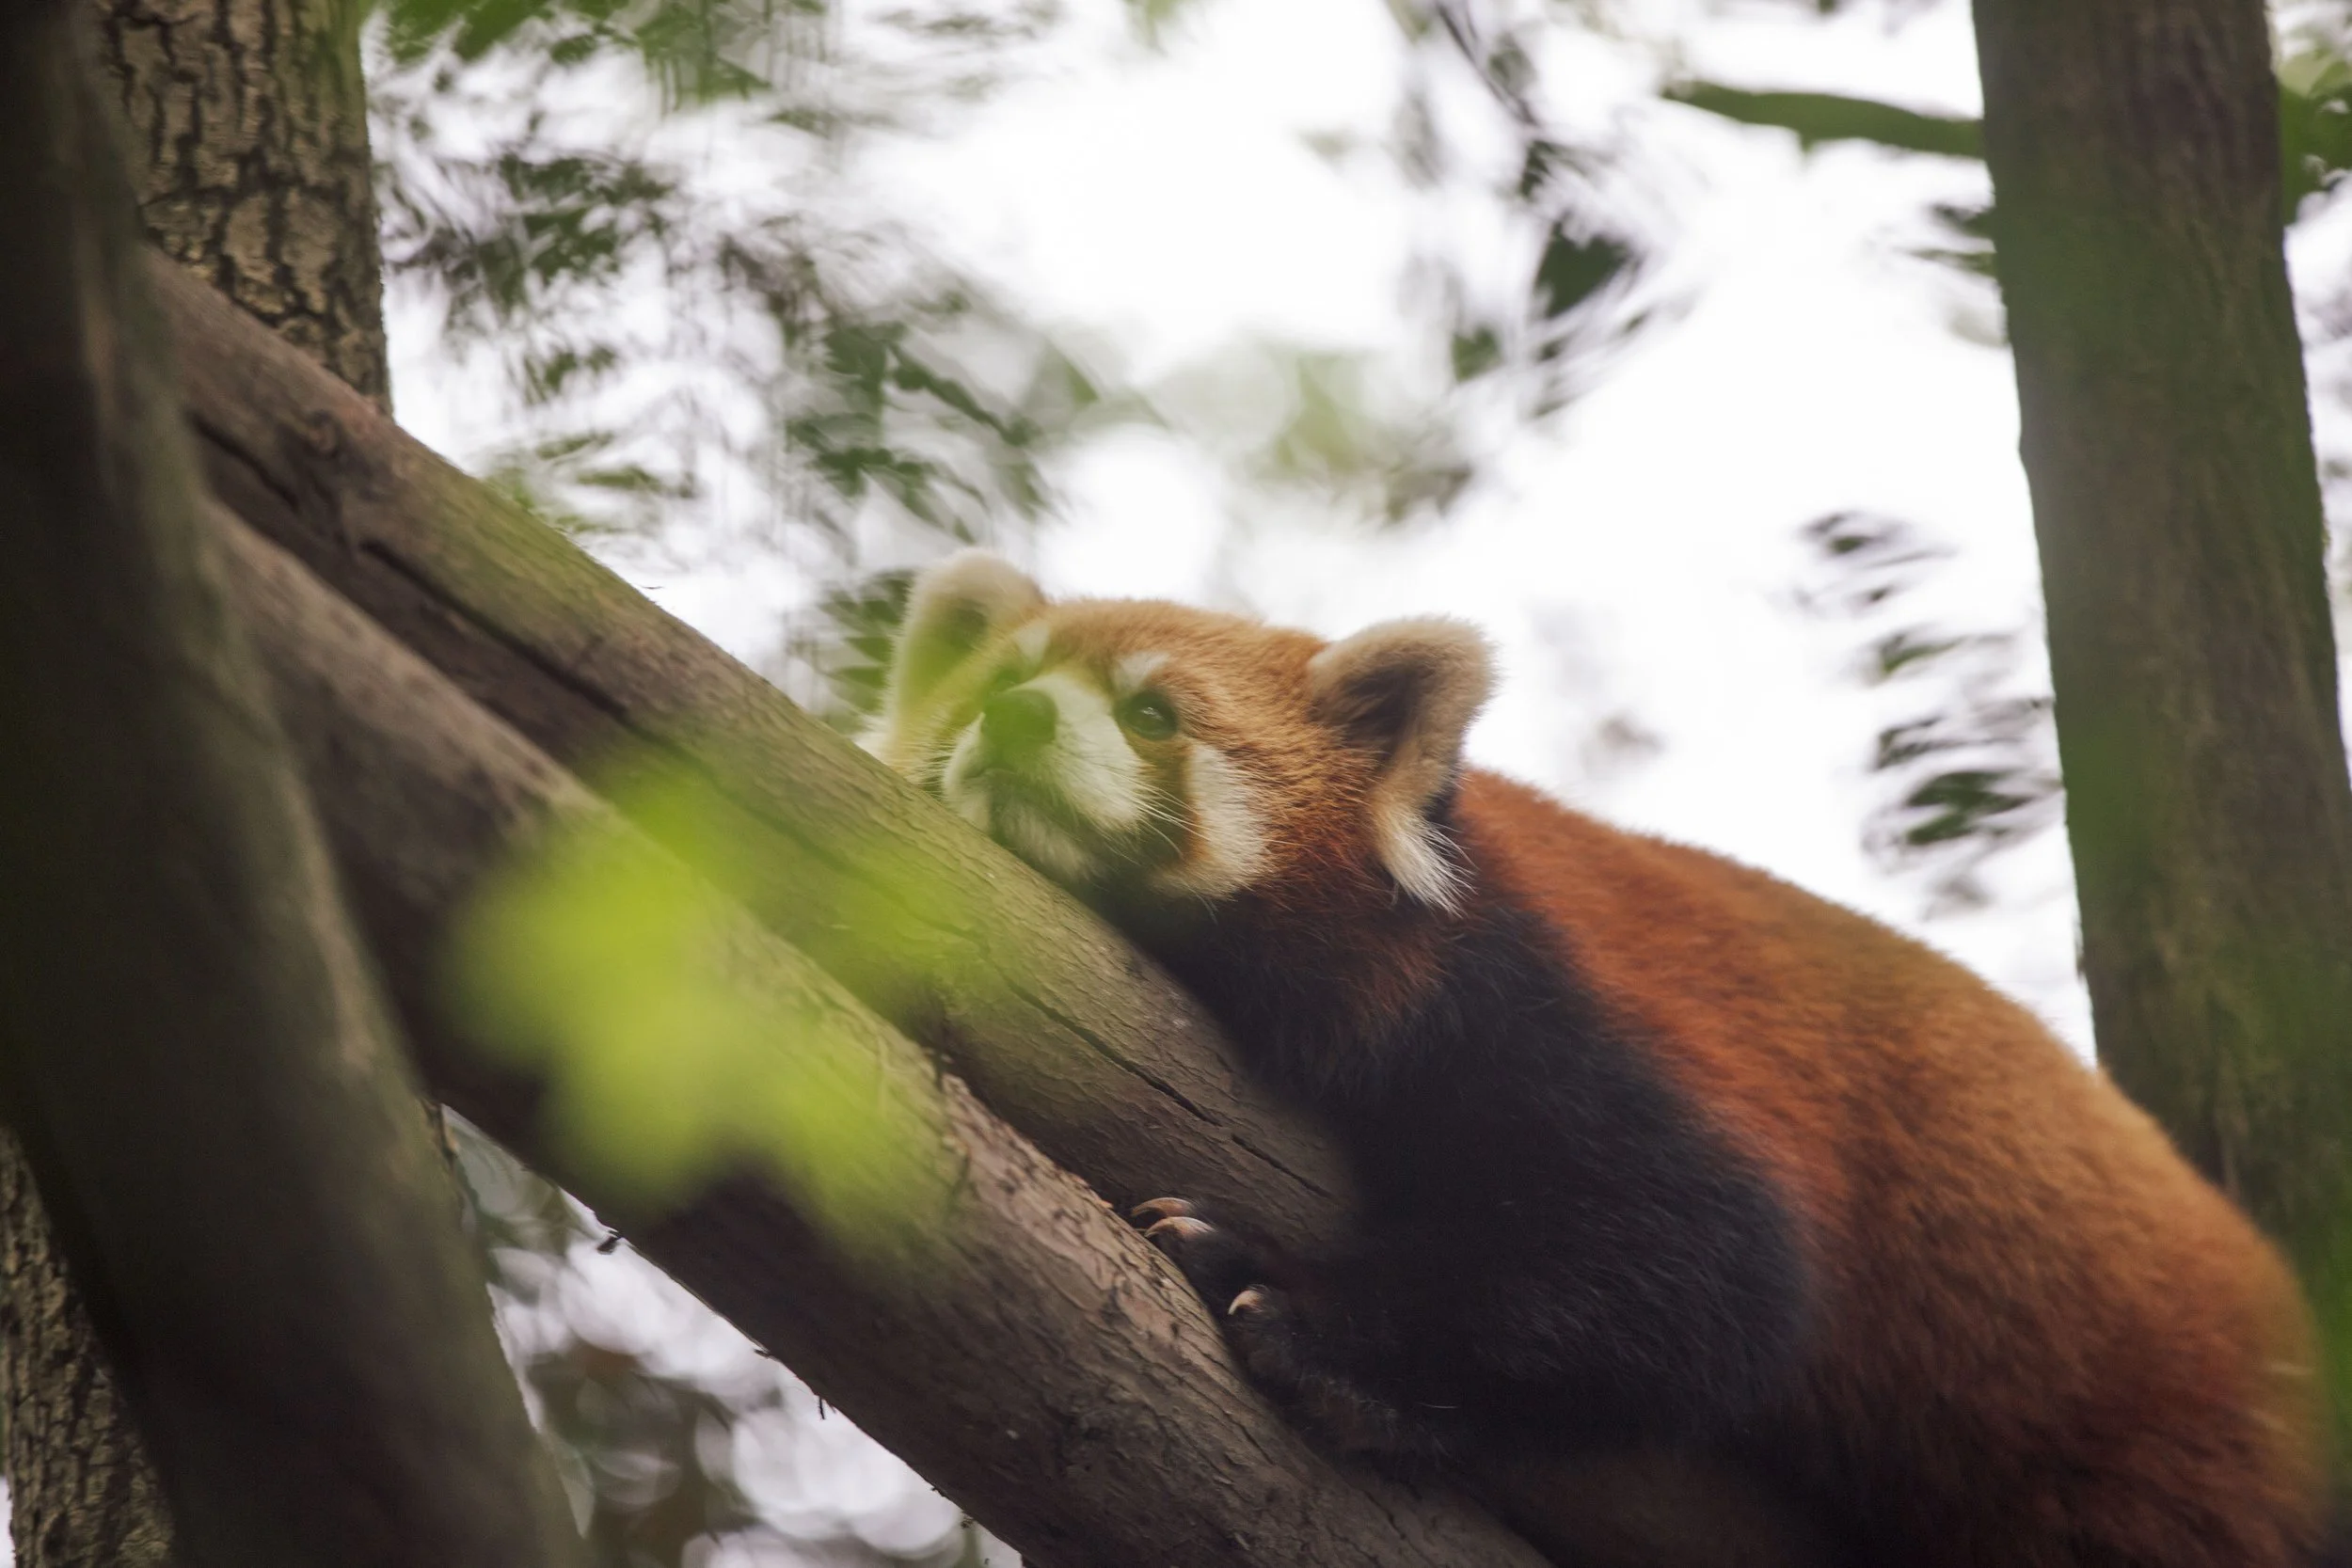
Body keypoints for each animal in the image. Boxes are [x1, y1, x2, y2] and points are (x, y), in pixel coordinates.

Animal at [863, 549, 2334, 1567]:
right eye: (993, 687)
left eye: (1156, 716)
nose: (1017, 722)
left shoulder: (1539, 998)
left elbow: (1711, 1271)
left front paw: (1281, 1294)